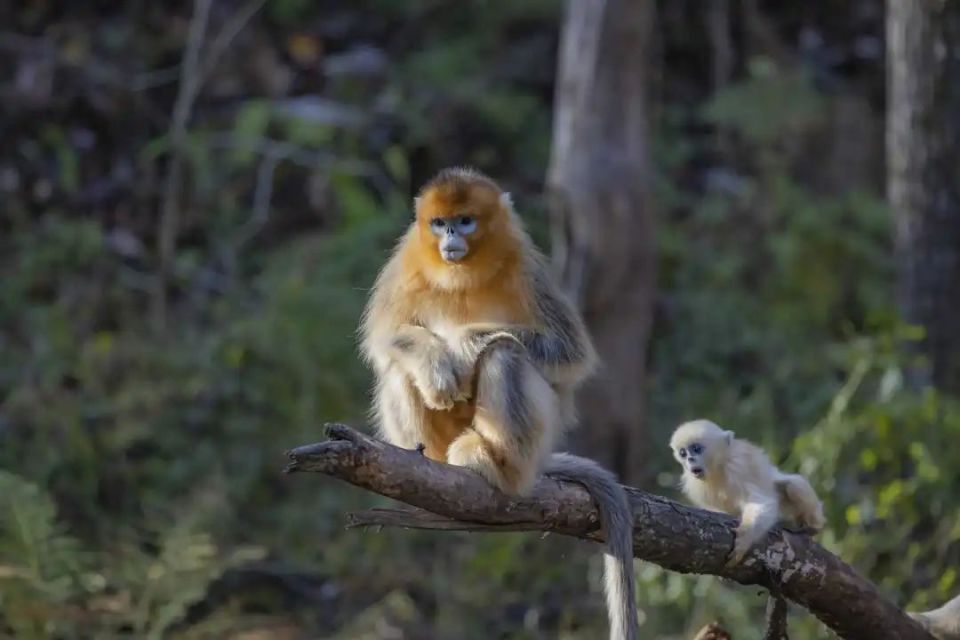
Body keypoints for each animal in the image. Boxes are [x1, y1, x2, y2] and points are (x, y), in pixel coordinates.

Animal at [668, 420, 824, 564]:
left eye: (696, 449)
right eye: (683, 453)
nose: (690, 459)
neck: (717, 469)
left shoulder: (738, 468)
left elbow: (761, 502)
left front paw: (745, 537)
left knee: (794, 485)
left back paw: (812, 527)